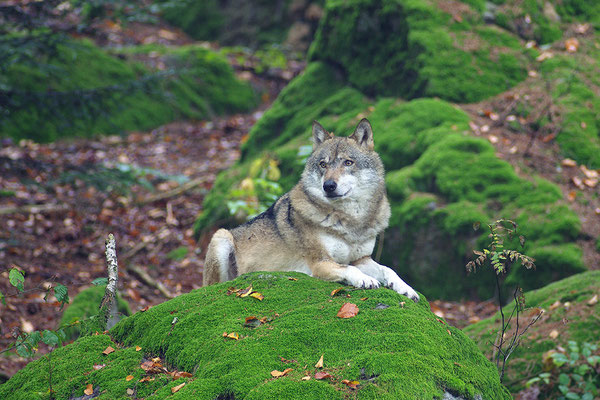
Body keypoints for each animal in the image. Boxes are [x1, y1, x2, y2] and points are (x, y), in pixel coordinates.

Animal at [204, 120, 420, 302]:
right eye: (323, 164)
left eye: (348, 162)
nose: (329, 186)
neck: (350, 222)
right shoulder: (321, 263)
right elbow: (348, 268)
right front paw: (365, 280)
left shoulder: (361, 259)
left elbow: (388, 269)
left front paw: (406, 288)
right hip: (221, 236)